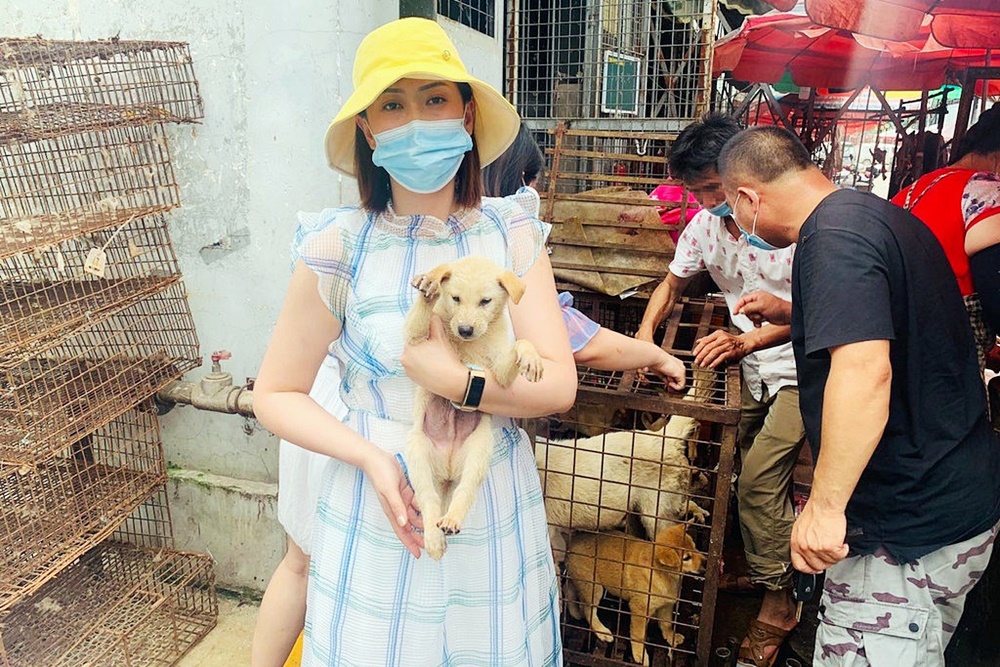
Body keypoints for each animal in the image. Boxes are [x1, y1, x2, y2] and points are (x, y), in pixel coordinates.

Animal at [403, 256, 544, 560]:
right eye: (455, 298)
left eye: (485, 301)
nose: (465, 330)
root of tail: (447, 471)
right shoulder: (415, 339)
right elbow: (418, 321)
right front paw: (429, 286)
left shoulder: (499, 374)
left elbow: (520, 345)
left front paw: (532, 358)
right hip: (418, 454)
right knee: (429, 500)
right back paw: (434, 538)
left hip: (478, 454)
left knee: (464, 492)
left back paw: (451, 520)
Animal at [564, 524, 705, 666]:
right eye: (686, 558)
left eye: (695, 546)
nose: (705, 564)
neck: (662, 573)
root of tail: (574, 539)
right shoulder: (639, 609)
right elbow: (638, 635)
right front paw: (640, 655)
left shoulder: (666, 606)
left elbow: (667, 623)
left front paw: (671, 636)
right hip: (594, 588)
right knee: (588, 610)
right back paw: (601, 631)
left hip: (580, 580)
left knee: (569, 590)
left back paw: (574, 612)